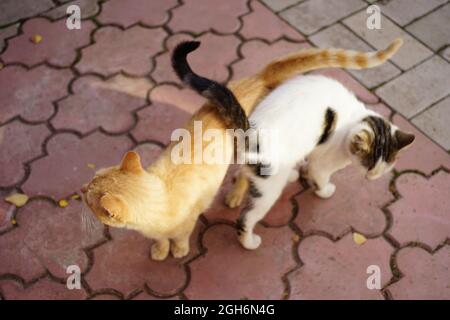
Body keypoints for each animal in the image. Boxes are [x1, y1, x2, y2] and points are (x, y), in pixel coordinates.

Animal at [82, 39, 402, 260]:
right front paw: (160, 250)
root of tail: (258, 77)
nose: (80, 189)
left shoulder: (188, 221)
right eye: (89, 183)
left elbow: (181, 236)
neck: (161, 195)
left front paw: (178, 250)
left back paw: (239, 197)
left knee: (246, 181)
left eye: (88, 196)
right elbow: (160, 240)